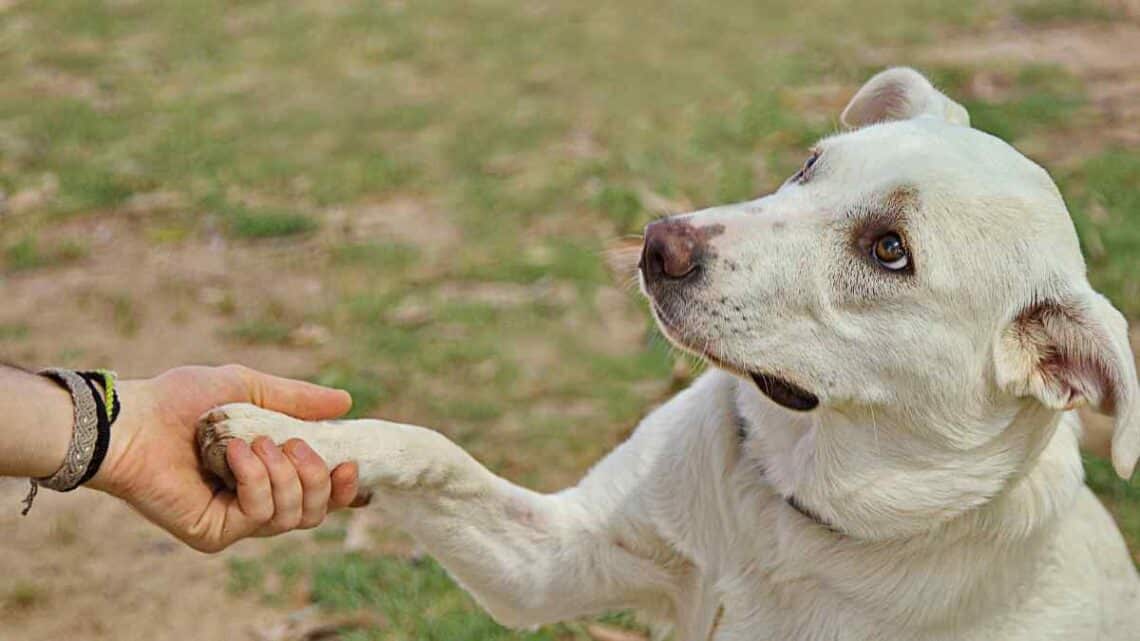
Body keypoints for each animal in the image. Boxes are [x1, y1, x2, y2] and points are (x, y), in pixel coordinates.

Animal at [198, 67, 1140, 634]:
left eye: (889, 250)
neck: (790, 514)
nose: (659, 244)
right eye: (810, 165)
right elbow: (430, 448)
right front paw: (288, 435)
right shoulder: (551, 563)